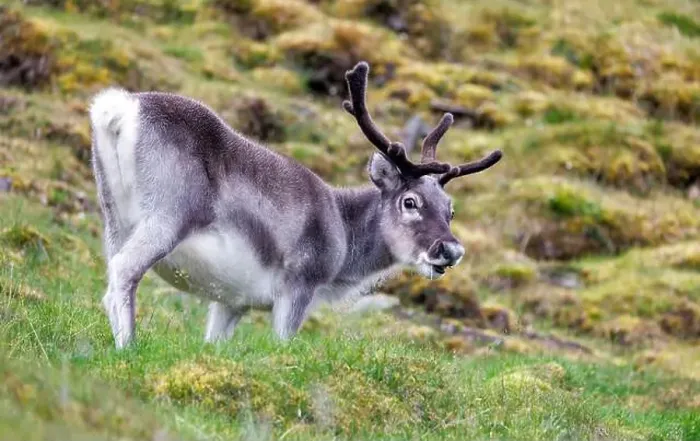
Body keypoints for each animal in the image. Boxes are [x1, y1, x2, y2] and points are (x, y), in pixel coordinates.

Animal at [89, 61, 502, 349]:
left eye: (450, 208)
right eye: (410, 202)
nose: (450, 249)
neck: (344, 235)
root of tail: (120, 109)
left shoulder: (232, 301)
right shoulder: (298, 286)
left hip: (112, 215)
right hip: (167, 217)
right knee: (123, 274)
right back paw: (129, 347)